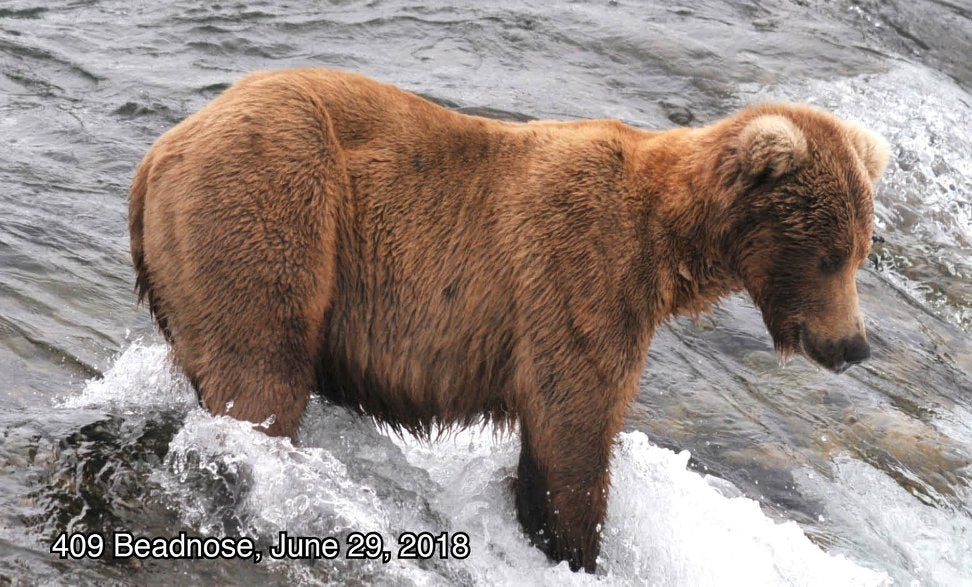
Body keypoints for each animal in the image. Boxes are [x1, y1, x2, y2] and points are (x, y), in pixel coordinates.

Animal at [129, 66, 888, 572]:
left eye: (861, 250)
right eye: (830, 256)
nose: (853, 343)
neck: (670, 244)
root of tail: (158, 154)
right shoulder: (580, 277)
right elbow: (574, 431)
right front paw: (578, 547)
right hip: (275, 201)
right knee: (260, 377)